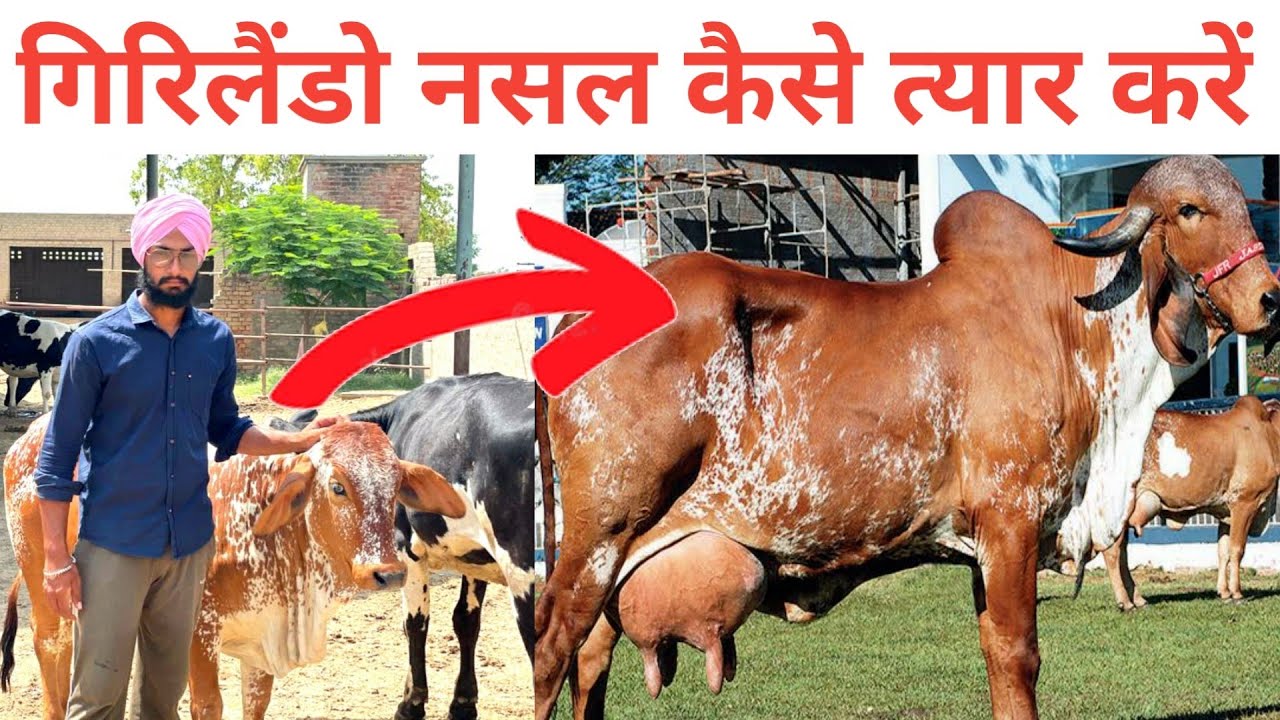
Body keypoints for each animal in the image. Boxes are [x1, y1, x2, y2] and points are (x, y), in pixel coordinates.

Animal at [1, 415, 466, 720]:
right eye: (337, 486)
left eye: (395, 487)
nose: (387, 572)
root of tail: (30, 434)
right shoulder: (198, 632)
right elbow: (208, 704)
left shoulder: (262, 637)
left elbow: (255, 703)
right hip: (47, 584)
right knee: (52, 648)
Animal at [271, 372, 535, 720]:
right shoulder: (474, 556)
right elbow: (466, 621)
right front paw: (462, 704)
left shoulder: (405, 549)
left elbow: (415, 624)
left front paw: (411, 704)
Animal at [1097, 395, 1280, 610]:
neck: (1269, 433)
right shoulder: (1244, 502)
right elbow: (1237, 550)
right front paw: (1236, 593)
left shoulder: (1225, 512)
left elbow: (1223, 551)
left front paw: (1224, 592)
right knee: (1113, 552)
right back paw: (1125, 602)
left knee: (1122, 553)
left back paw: (1138, 599)